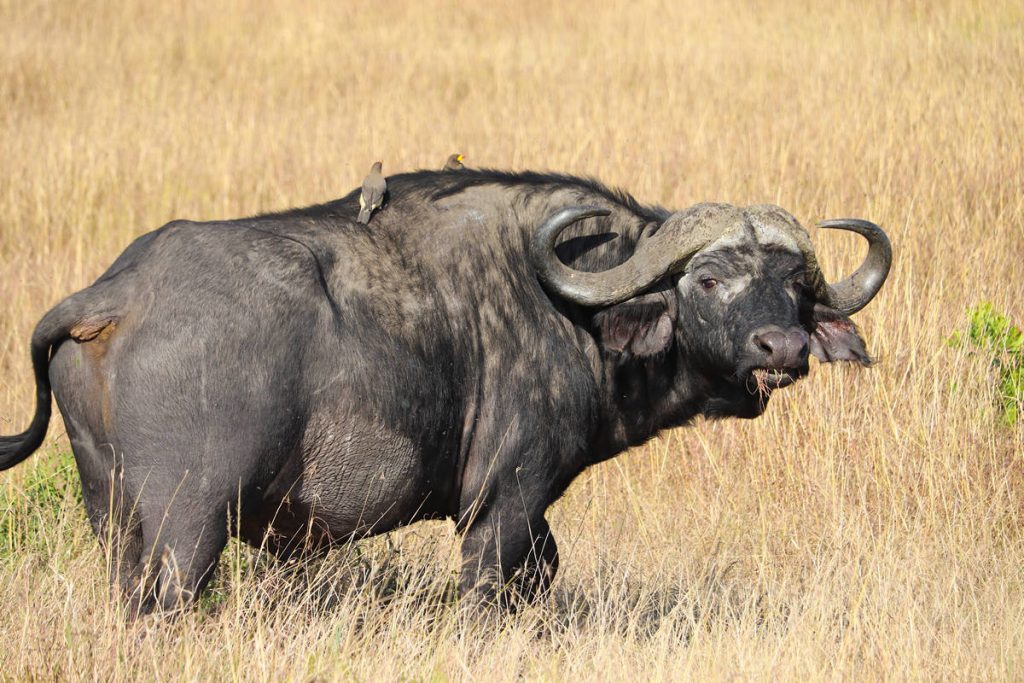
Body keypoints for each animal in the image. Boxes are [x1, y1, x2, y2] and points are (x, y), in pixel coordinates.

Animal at [0, 167, 888, 610]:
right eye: (706, 278)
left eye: (793, 285)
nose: (783, 346)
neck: (574, 306)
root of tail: (117, 291)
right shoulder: (506, 494)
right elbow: (491, 586)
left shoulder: (524, 509)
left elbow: (544, 572)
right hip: (188, 523)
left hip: (111, 513)